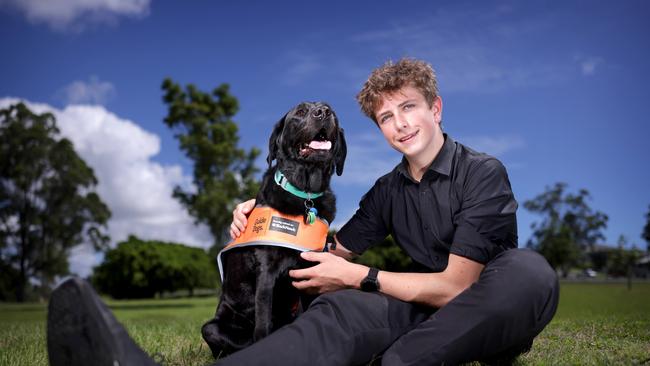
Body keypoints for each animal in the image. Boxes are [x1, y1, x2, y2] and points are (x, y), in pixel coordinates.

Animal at [201, 102, 344, 358]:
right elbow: (263, 324)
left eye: (331, 111)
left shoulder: (309, 272)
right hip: (211, 327)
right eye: (300, 112)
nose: (324, 113)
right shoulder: (267, 272)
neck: (306, 193)